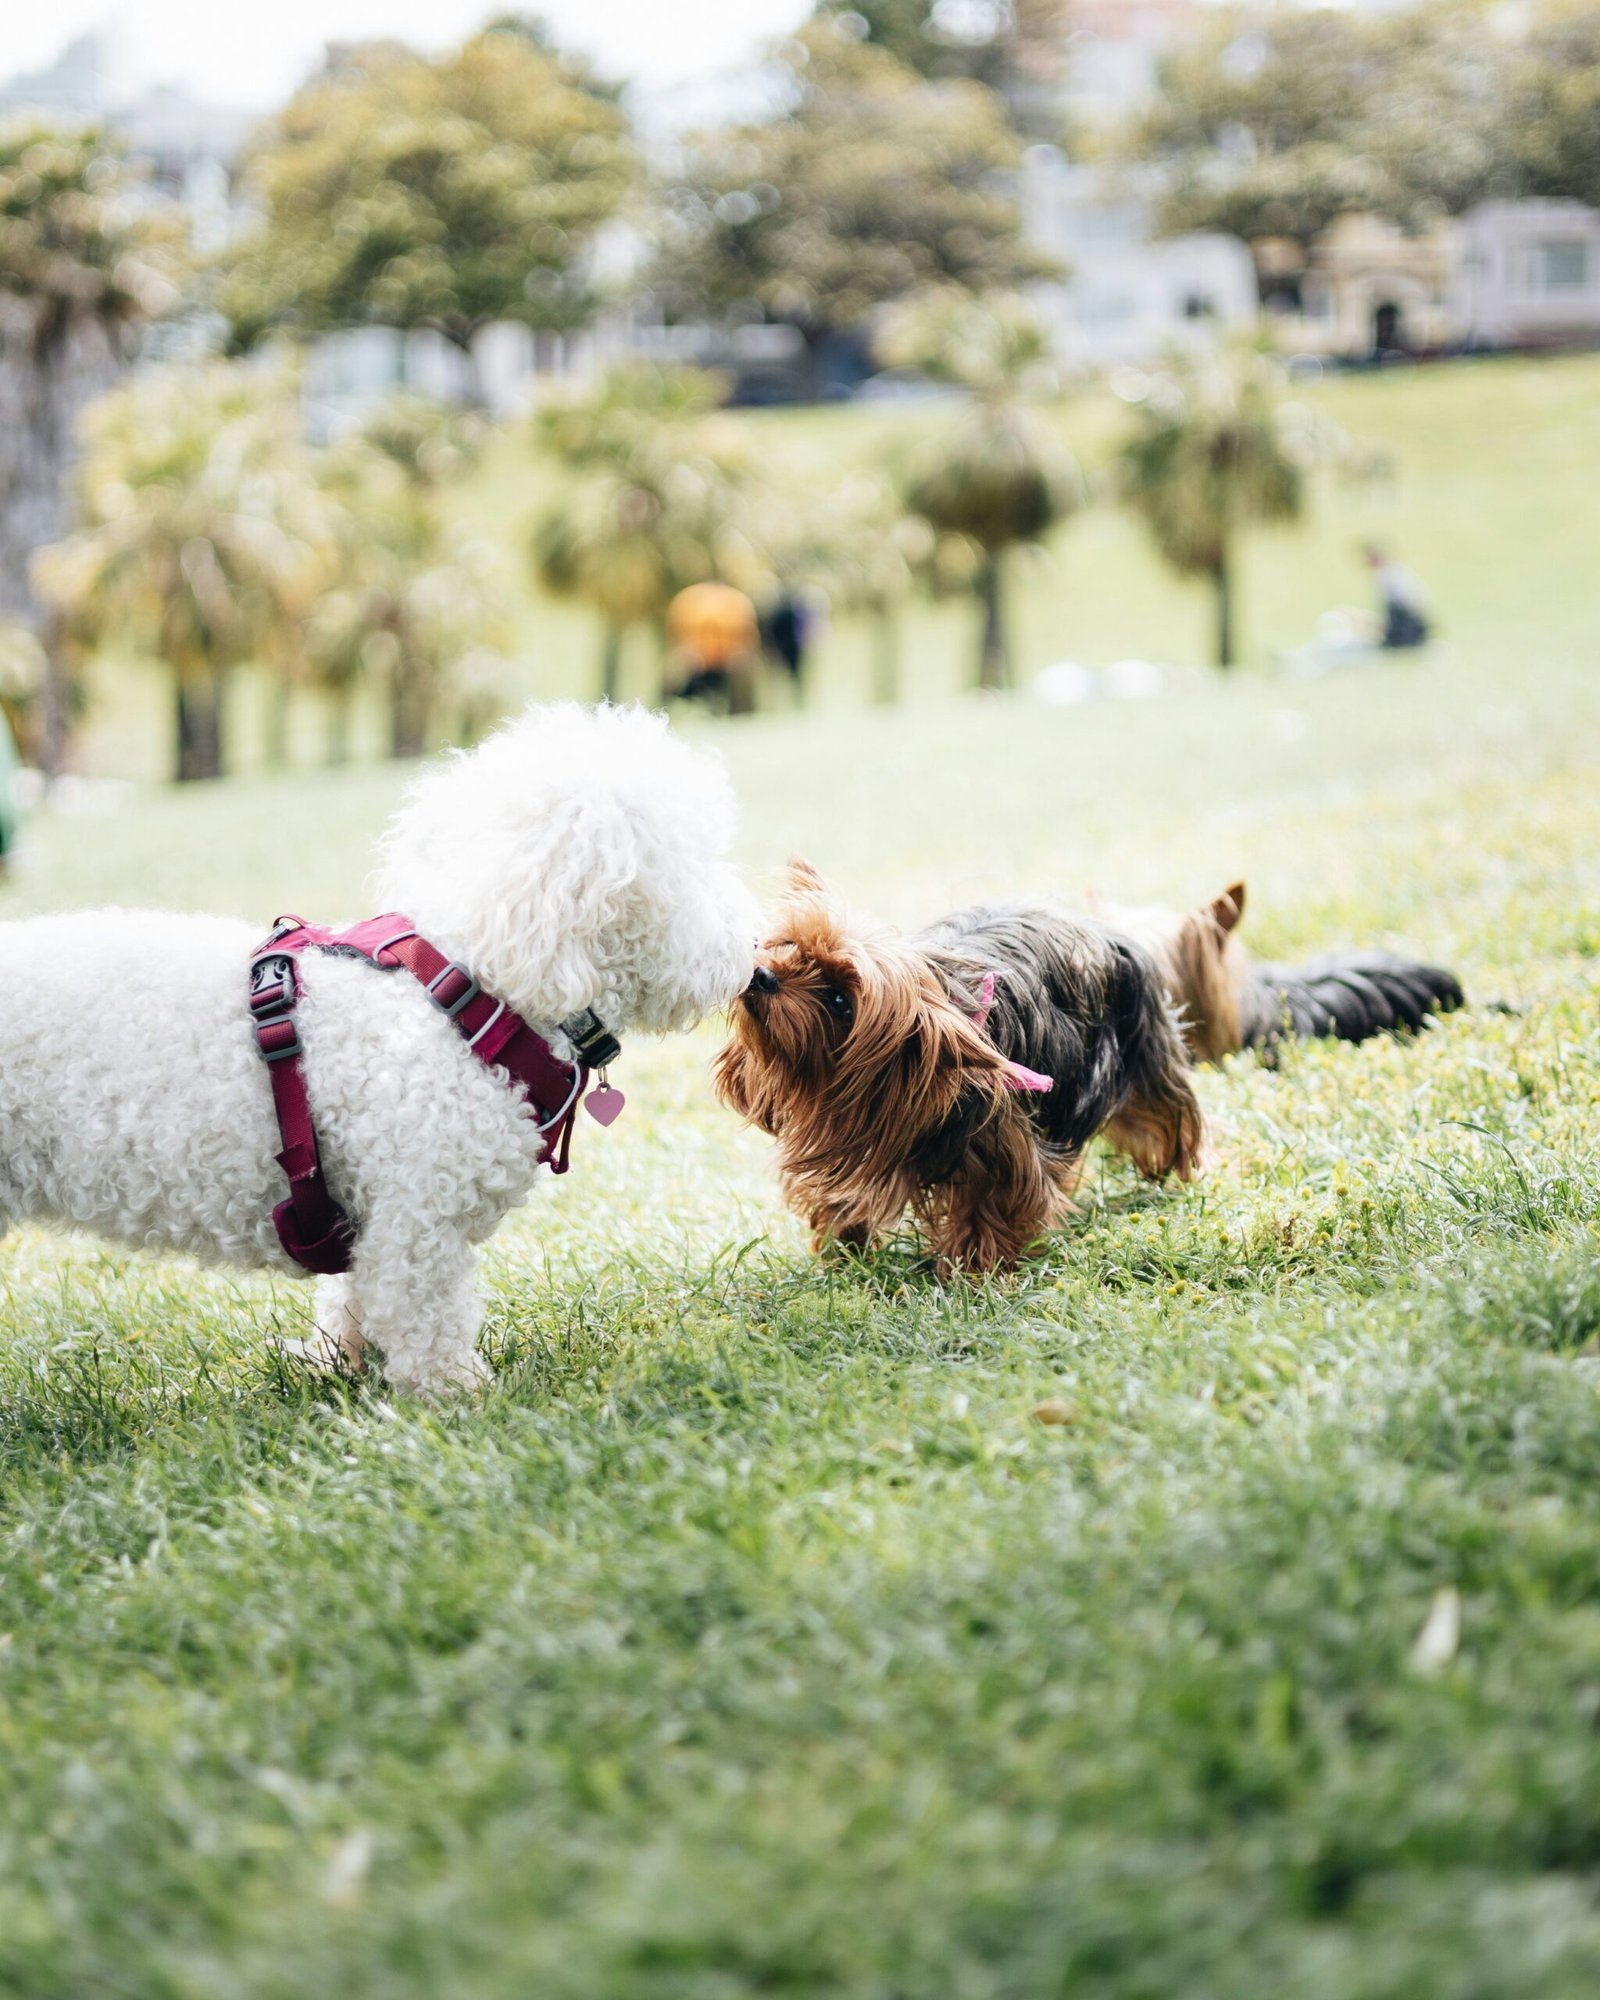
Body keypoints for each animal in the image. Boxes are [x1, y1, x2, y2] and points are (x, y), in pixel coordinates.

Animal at [0, 712, 760, 1400]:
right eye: (695, 872)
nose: (755, 950)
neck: (472, 995)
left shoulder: (371, 1217)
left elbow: (354, 1301)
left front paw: (338, 1361)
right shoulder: (416, 1217)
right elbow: (423, 1316)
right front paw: (458, 1396)